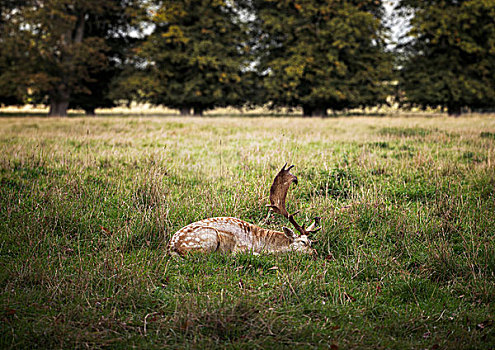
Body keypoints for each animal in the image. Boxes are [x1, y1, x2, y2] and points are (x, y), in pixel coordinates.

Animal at [167, 163, 322, 256]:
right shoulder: (241, 248)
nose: (315, 253)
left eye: (311, 242)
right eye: (303, 242)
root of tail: (171, 247)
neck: (261, 243)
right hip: (209, 237)